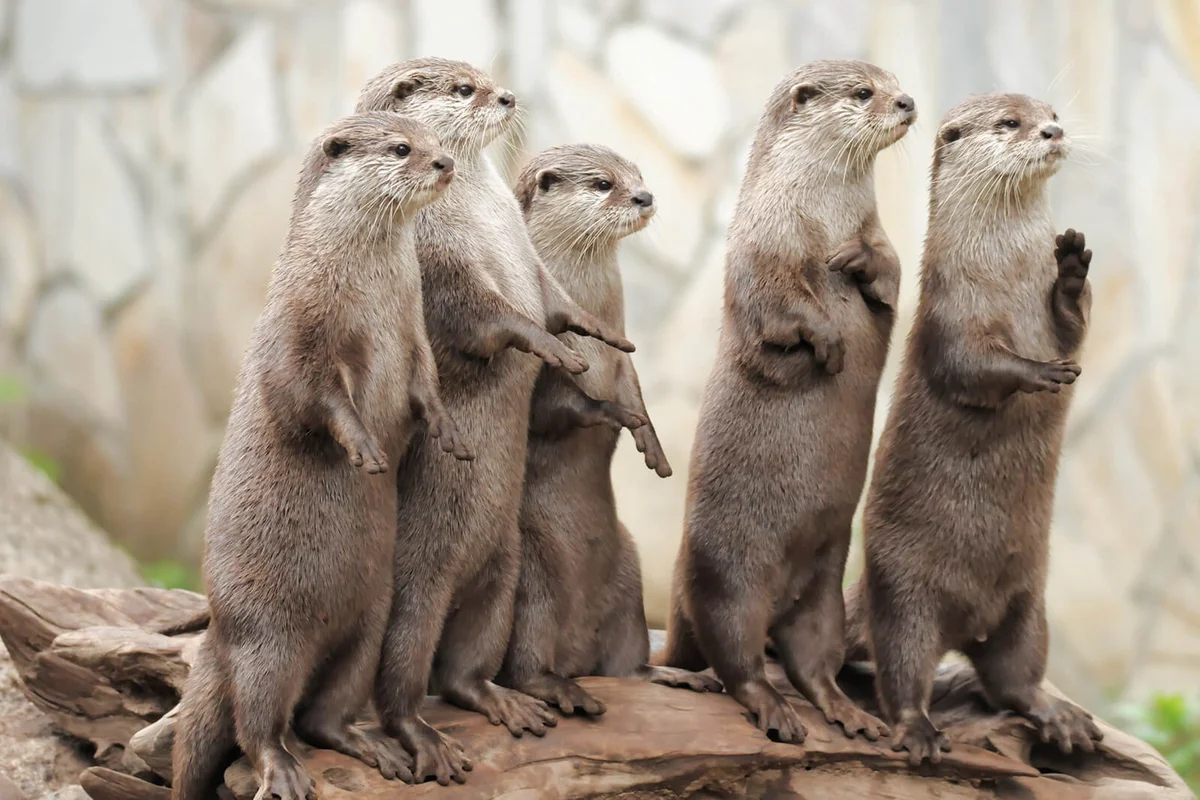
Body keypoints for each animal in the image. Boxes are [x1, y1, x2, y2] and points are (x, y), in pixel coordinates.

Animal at [171, 113, 471, 800]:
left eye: (433, 139)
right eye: (402, 148)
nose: (445, 163)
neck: (372, 297)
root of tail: (218, 630)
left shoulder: (414, 336)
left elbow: (426, 387)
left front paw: (447, 429)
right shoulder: (298, 326)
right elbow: (307, 395)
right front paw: (362, 446)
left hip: (368, 620)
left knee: (323, 714)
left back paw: (377, 745)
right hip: (268, 636)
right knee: (257, 721)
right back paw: (282, 770)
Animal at [352, 60, 636, 786]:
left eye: (484, 76)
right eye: (463, 88)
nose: (507, 95)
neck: (481, 214)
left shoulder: (528, 259)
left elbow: (556, 301)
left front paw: (588, 330)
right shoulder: (436, 257)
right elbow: (487, 315)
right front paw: (547, 347)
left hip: (505, 574)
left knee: (463, 671)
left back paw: (502, 699)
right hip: (417, 589)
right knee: (402, 680)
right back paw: (423, 740)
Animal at [496, 144, 721, 716]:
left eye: (638, 174)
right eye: (603, 183)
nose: (645, 196)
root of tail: (575, 655)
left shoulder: (623, 356)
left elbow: (635, 388)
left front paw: (653, 445)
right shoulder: (543, 371)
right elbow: (566, 409)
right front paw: (615, 416)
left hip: (629, 582)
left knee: (628, 665)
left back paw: (674, 675)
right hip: (531, 584)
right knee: (523, 665)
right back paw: (562, 692)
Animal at [655, 60, 915, 745]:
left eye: (893, 79)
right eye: (864, 92)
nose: (908, 101)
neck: (818, 216)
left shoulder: (879, 233)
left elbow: (892, 270)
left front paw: (858, 262)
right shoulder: (760, 247)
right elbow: (780, 304)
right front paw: (828, 341)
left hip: (823, 586)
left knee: (812, 663)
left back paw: (851, 714)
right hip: (725, 575)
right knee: (736, 660)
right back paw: (769, 711)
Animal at [842, 93, 1102, 765]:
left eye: (1050, 109)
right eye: (1009, 123)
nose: (1053, 130)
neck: (1006, 277)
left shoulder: (1054, 319)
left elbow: (1074, 326)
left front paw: (1071, 267)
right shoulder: (947, 312)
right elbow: (971, 365)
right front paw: (1037, 371)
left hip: (1030, 601)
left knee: (1015, 678)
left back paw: (1059, 717)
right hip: (903, 590)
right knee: (901, 668)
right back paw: (918, 732)